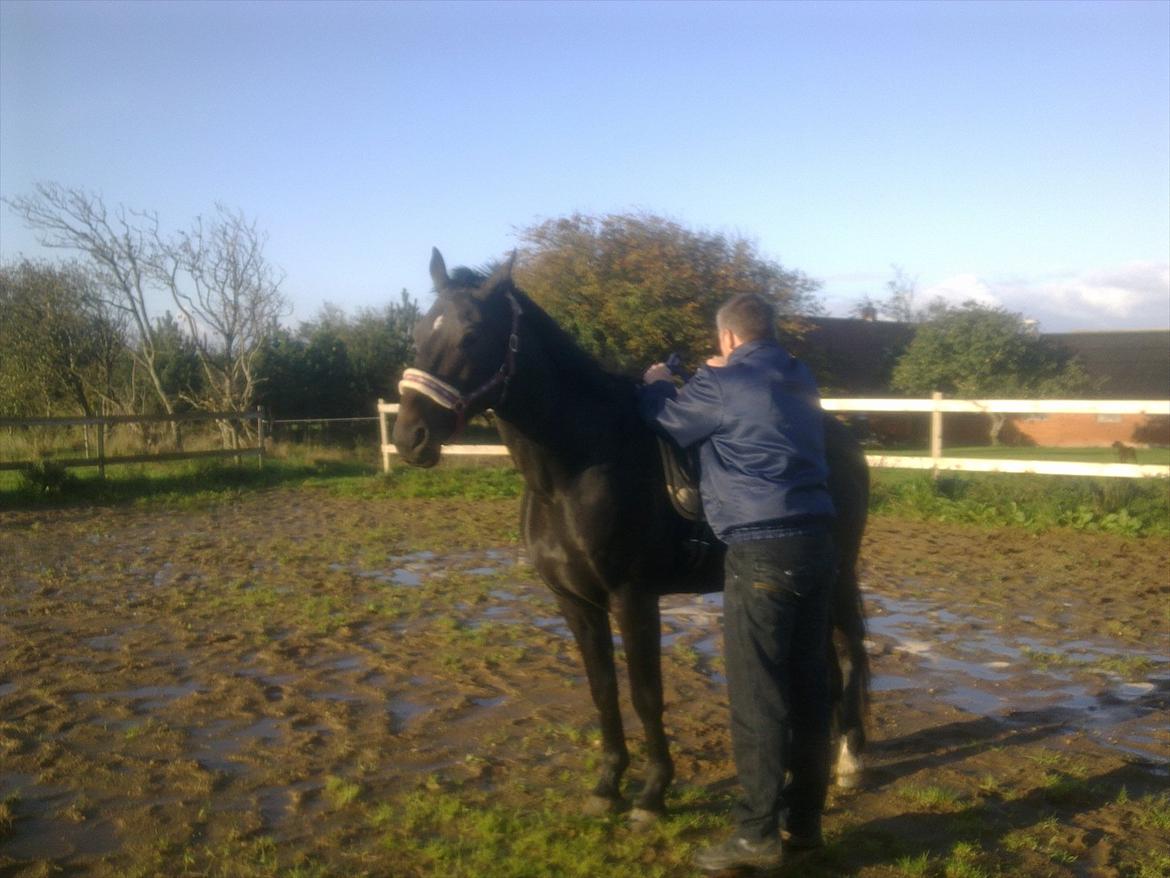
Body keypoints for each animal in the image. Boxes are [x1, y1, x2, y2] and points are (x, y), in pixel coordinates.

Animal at [393, 249, 870, 822]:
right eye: (419, 331)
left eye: (470, 334)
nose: (409, 438)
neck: (574, 470)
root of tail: (842, 438)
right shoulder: (575, 601)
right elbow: (602, 690)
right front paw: (607, 785)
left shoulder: (633, 597)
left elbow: (646, 693)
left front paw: (652, 793)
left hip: (834, 575)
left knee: (847, 654)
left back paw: (849, 762)